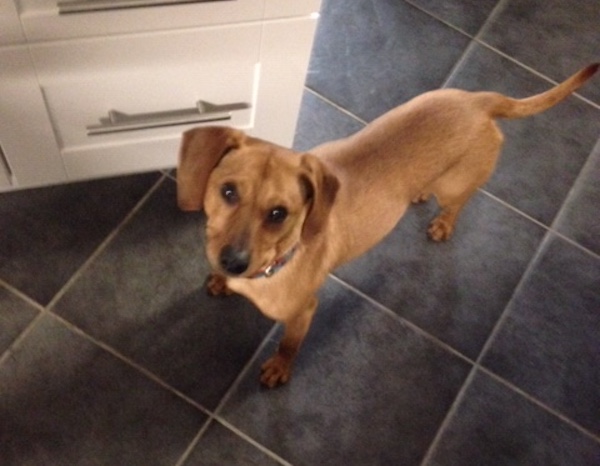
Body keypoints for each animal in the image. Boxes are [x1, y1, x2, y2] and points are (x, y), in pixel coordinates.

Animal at [176, 63, 596, 388]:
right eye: (228, 192)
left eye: (279, 213)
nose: (232, 262)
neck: (275, 263)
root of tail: (479, 100)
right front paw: (219, 281)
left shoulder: (302, 313)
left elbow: (288, 345)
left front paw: (280, 367)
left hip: (456, 186)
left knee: (458, 204)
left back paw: (443, 223)